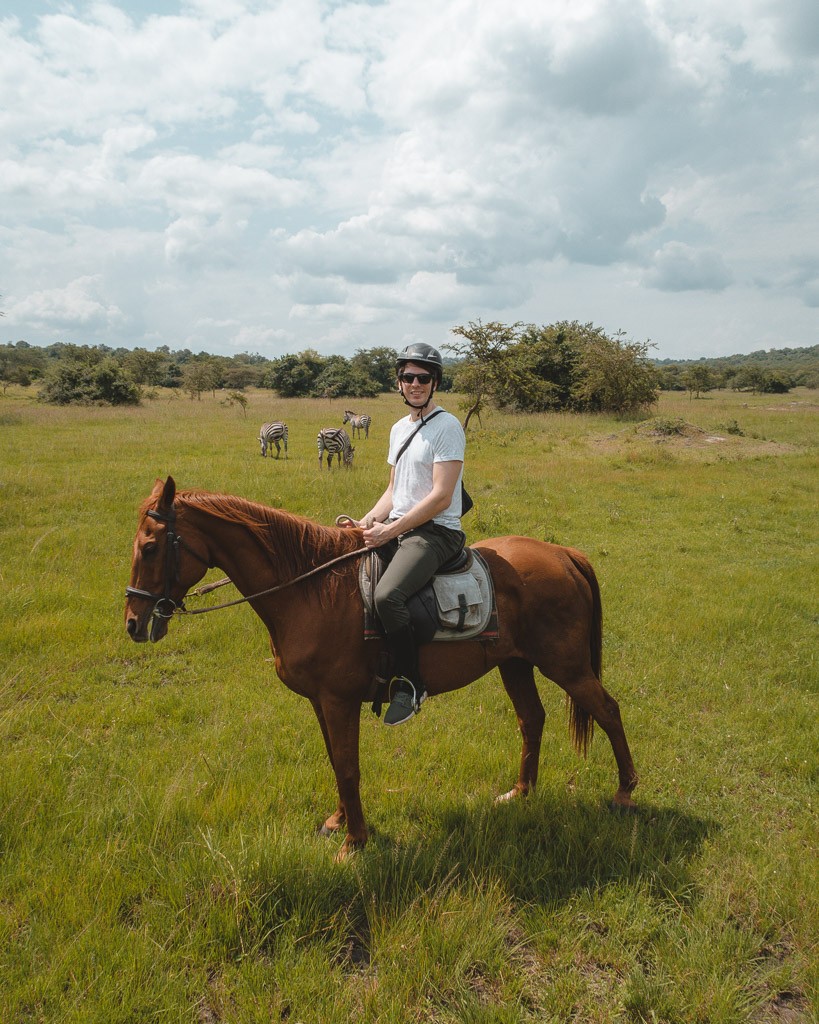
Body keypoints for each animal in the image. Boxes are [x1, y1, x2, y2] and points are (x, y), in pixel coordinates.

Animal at [124, 477, 634, 856]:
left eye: (150, 548)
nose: (133, 622)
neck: (310, 590)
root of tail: (565, 554)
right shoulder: (321, 701)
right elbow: (335, 760)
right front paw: (338, 821)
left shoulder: (339, 700)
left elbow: (348, 767)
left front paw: (355, 841)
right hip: (516, 665)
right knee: (532, 719)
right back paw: (521, 792)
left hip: (566, 667)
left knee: (608, 712)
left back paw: (625, 793)